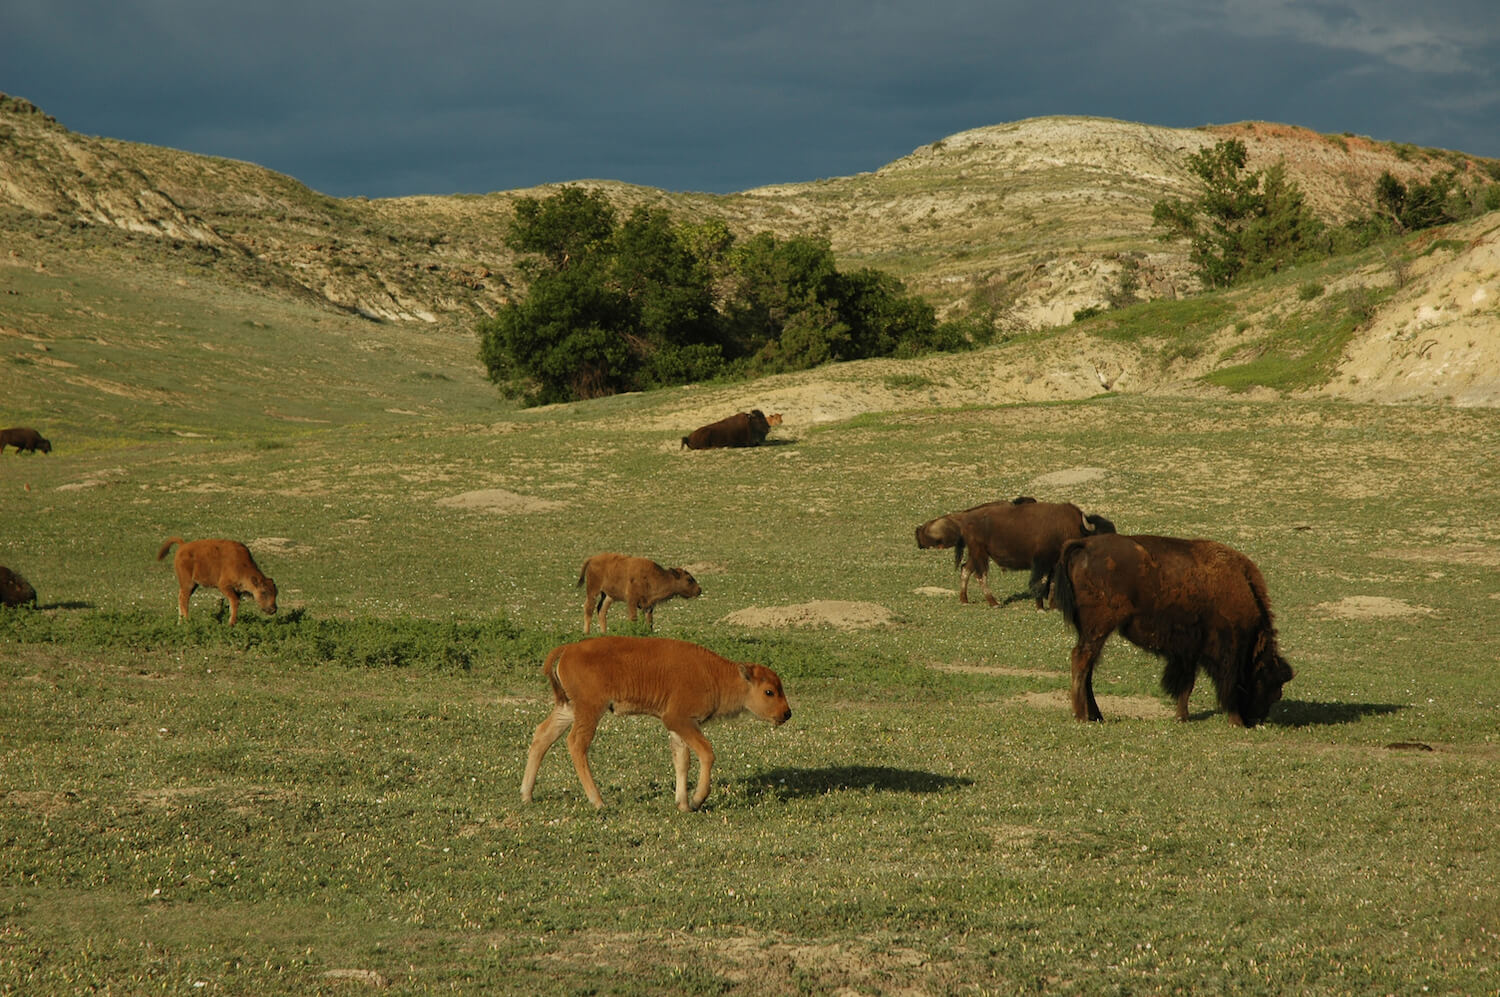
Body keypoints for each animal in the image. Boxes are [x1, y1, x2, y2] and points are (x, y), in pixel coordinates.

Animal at [522, 638, 792, 809]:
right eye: (769, 692)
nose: (787, 713)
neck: (716, 675)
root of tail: (569, 648)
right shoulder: (678, 719)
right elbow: (706, 753)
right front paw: (697, 800)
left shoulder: (681, 727)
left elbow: (682, 760)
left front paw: (683, 804)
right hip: (589, 710)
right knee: (577, 744)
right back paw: (598, 801)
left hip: (568, 708)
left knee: (542, 735)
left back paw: (527, 795)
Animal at [579, 551, 708, 629]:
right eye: (689, 579)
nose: (699, 590)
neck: (654, 577)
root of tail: (592, 559)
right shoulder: (632, 601)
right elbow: (633, 619)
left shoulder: (649, 605)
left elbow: (649, 622)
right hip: (593, 590)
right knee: (589, 608)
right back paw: (587, 633)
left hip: (608, 596)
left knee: (601, 611)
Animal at [912, 494, 1116, 605]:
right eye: (1099, 537)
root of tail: (966, 519)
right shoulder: (1042, 562)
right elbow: (1041, 581)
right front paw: (1041, 606)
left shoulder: (1054, 564)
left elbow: (1050, 582)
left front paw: (1051, 604)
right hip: (980, 554)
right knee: (980, 575)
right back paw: (994, 603)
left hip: (977, 554)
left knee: (965, 570)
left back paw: (965, 599)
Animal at [1056, 533, 1290, 728]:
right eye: (1269, 687)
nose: (1255, 719)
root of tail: (1085, 545)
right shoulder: (1226, 653)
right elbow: (1226, 685)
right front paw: (1235, 721)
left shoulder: (1188, 651)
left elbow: (1186, 684)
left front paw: (1182, 717)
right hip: (1099, 627)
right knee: (1081, 660)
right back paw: (1081, 716)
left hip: (1090, 631)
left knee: (1087, 667)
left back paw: (1096, 715)